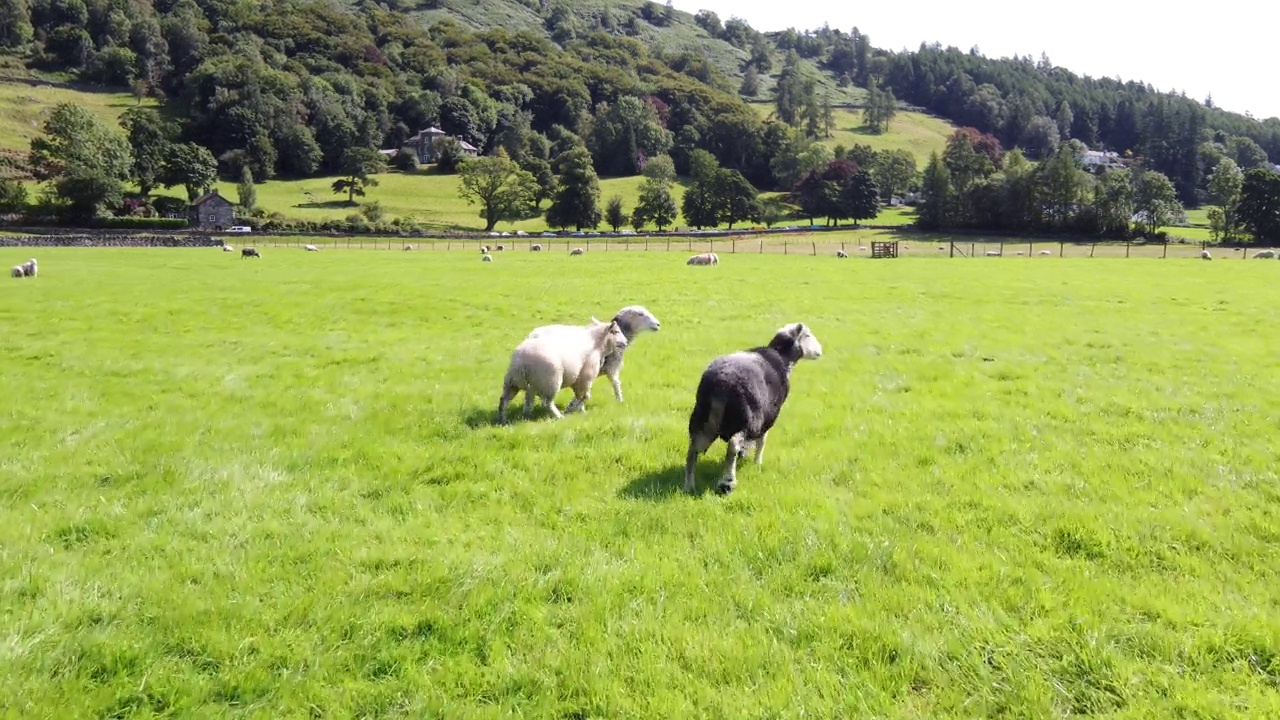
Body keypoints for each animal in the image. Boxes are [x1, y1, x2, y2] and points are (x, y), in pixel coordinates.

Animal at [496, 313, 627, 420]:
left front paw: (579, 410)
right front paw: (573, 409)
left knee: (505, 400)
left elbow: (580, 396)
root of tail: (521, 361)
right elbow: (585, 396)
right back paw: (558, 416)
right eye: (616, 331)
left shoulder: (578, 380)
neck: (598, 344)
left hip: (513, 382)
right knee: (546, 403)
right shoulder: (585, 378)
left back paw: (506, 419)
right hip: (551, 381)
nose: (625, 342)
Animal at [524, 302, 660, 404]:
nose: (658, 324)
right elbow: (615, 384)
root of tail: (532, 335)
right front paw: (620, 401)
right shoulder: (608, 368)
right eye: (640, 314)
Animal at [686, 320, 824, 491]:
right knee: (733, 444)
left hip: (702, 416)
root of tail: (720, 383)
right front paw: (757, 462)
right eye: (808, 335)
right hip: (747, 419)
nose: (820, 351)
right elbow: (762, 440)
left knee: (693, 449)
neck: (783, 357)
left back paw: (689, 485)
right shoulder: (769, 415)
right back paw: (728, 481)